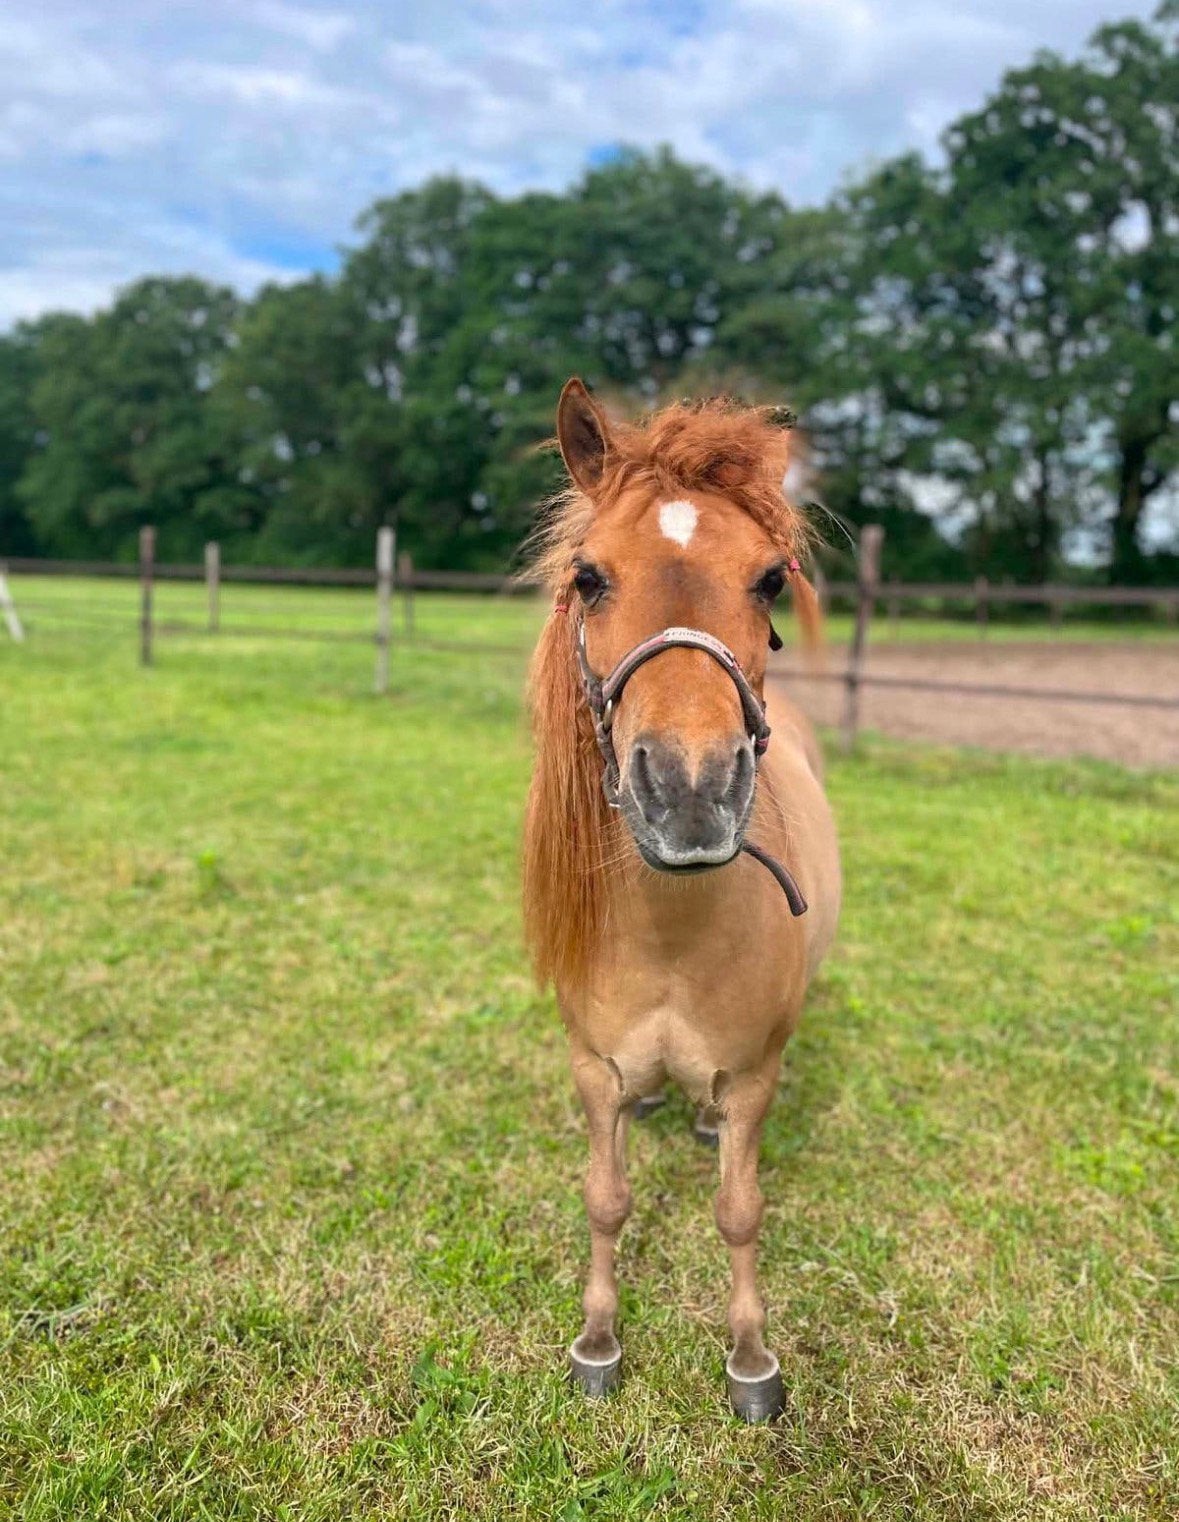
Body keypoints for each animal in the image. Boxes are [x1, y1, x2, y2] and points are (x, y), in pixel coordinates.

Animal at [522, 378, 842, 1422]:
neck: (671, 936)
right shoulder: (592, 1069)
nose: (692, 789)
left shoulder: (752, 1081)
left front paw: (750, 1356)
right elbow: (604, 1197)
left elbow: (739, 1211)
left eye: (770, 581)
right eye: (588, 577)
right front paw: (597, 1341)